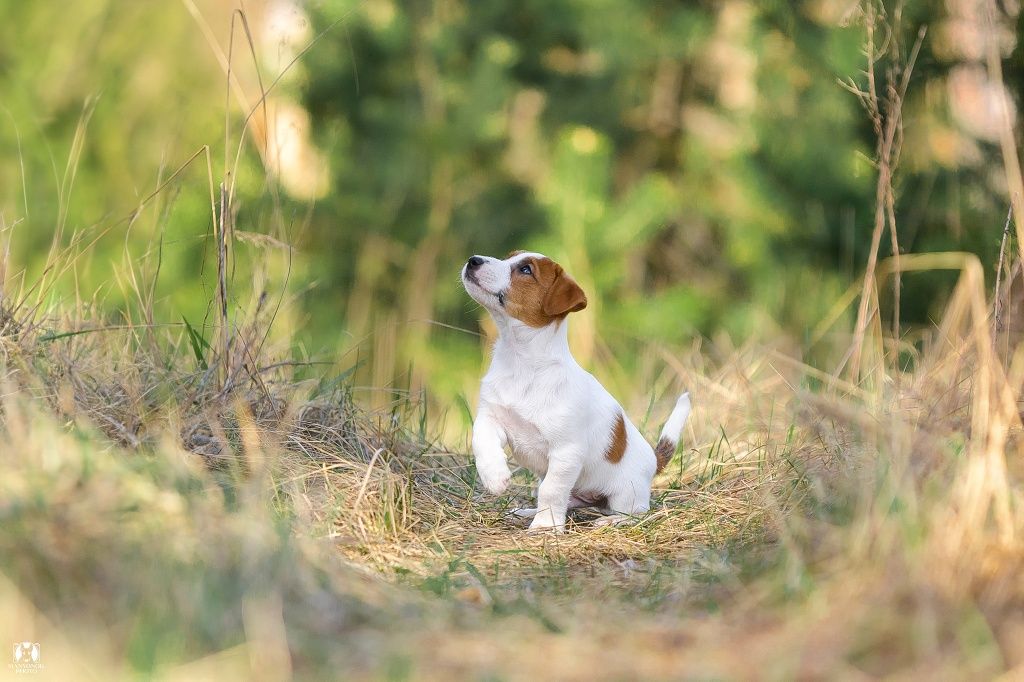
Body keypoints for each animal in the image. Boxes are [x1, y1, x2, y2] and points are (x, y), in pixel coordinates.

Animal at [462, 249, 688, 532]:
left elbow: (552, 490)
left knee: (635, 512)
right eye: (507, 258)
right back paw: (526, 511)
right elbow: (481, 441)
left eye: (525, 270)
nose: (473, 260)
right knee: (566, 500)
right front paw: (495, 477)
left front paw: (545, 526)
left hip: (626, 492)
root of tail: (654, 459)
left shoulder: (566, 451)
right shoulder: (491, 417)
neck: (521, 361)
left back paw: (610, 520)